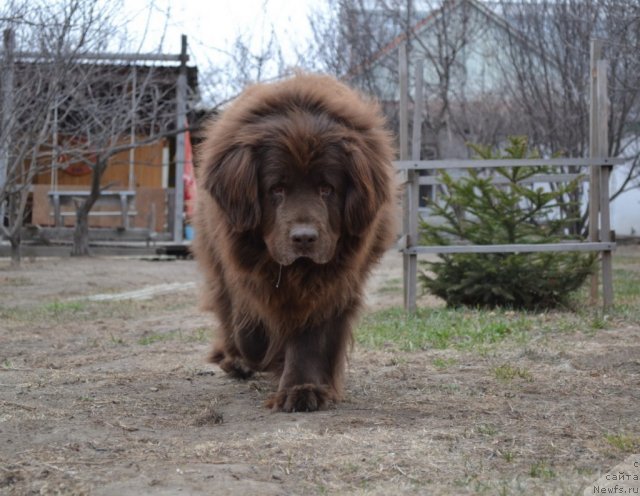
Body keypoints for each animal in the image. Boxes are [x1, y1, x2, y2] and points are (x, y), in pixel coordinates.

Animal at [192, 73, 398, 412]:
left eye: (327, 189)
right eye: (277, 189)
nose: (304, 238)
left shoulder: (330, 284)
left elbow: (310, 337)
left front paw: (302, 389)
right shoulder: (241, 269)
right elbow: (249, 326)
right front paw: (261, 356)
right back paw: (238, 361)